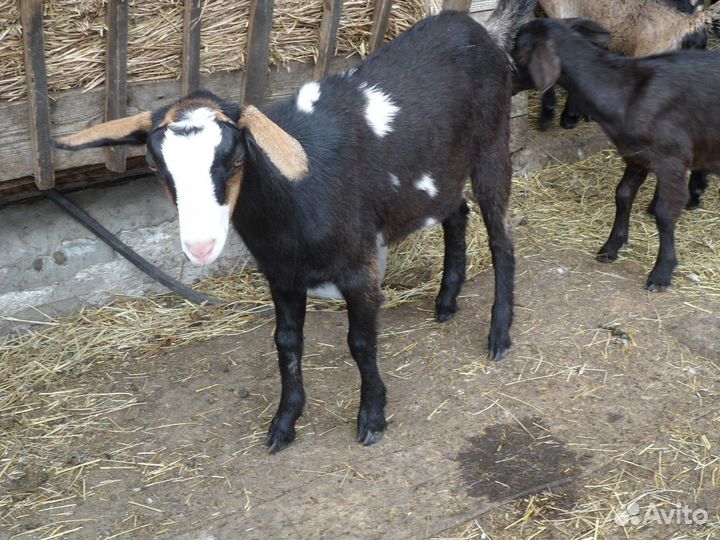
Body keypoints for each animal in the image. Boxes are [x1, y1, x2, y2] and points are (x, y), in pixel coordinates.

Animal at [54, 0, 536, 453]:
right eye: (156, 166)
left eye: (236, 157)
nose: (201, 246)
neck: (289, 206)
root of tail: (482, 29)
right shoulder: (281, 273)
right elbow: (286, 342)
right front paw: (284, 423)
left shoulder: (358, 266)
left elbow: (361, 342)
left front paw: (372, 417)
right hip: (438, 173)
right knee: (457, 212)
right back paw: (447, 301)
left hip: (493, 143)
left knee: (502, 237)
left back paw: (499, 334)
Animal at [512, 17, 720, 291]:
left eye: (517, 50)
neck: (625, 92)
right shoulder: (636, 155)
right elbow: (623, 195)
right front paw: (611, 247)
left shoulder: (671, 159)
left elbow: (665, 213)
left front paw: (662, 272)